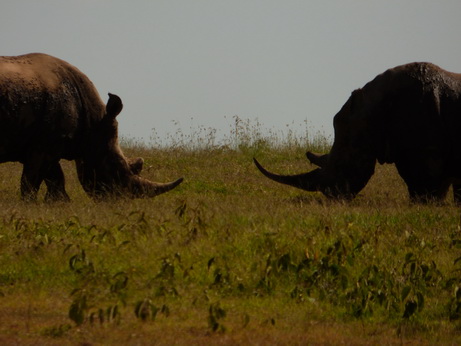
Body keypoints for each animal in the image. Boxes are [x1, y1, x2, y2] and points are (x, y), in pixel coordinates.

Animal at [0, 52, 182, 201]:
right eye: (114, 166)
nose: (122, 200)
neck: (93, 122)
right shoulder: (43, 145)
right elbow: (31, 182)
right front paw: (29, 204)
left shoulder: (50, 145)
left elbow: (55, 178)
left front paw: (59, 203)